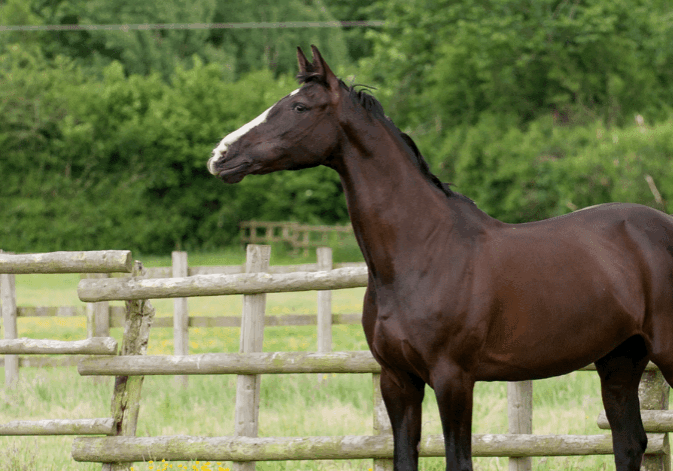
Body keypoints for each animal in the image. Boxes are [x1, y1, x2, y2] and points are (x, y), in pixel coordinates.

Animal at [207, 45, 673, 471]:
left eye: (299, 106)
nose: (220, 156)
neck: (422, 252)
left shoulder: (454, 379)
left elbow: (458, 459)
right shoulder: (398, 381)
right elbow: (403, 458)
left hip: (664, 353)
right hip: (619, 360)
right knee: (629, 442)